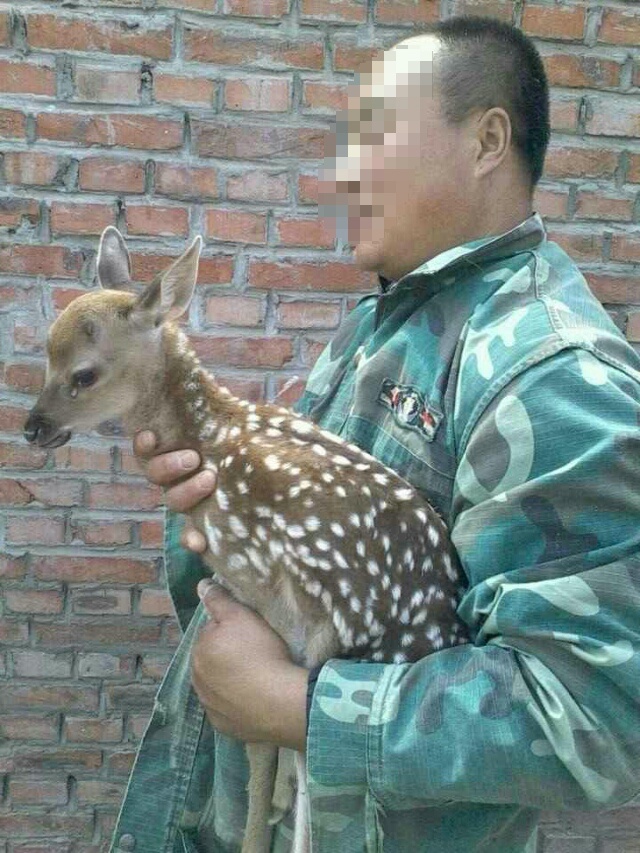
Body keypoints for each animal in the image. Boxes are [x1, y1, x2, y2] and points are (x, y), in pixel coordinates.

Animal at [24, 227, 470, 853]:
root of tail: (439, 630)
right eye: (45, 357)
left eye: (83, 374)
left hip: (340, 638)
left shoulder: (270, 608)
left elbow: (262, 746)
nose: (31, 427)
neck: (217, 442)